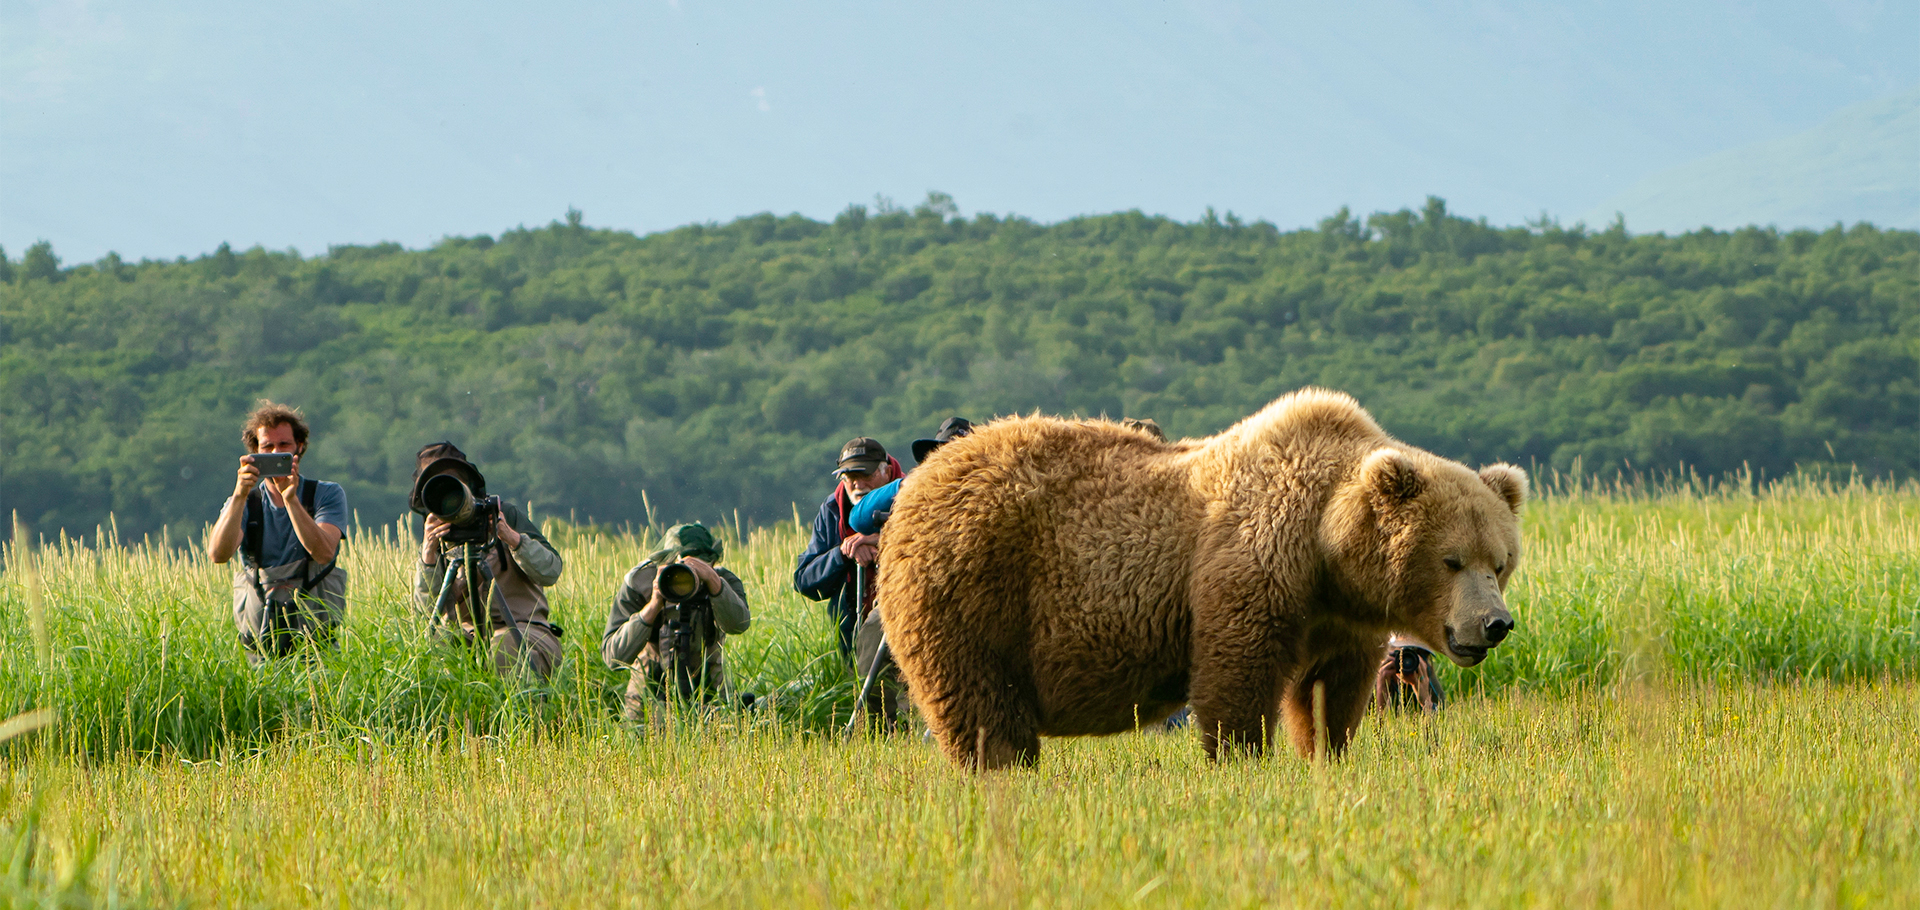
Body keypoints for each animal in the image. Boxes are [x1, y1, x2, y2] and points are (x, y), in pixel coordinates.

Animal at [875, 388, 1526, 769]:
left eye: (1499, 562)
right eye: (1451, 560)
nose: (1495, 623)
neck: (1323, 545)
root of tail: (921, 482)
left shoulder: (1337, 616)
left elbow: (1330, 691)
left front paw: (1325, 752)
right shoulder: (1250, 565)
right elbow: (1237, 677)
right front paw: (1239, 760)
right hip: (974, 585)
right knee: (983, 704)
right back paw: (1002, 765)